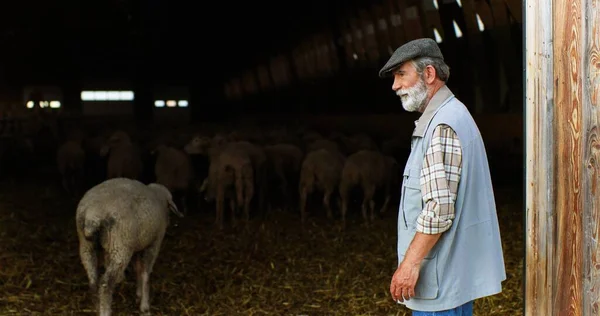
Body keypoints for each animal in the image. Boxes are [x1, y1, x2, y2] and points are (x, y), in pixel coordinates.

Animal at [75, 178, 183, 316]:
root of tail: (93, 215)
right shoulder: (154, 244)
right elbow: (146, 273)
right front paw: (145, 306)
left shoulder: (138, 245)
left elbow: (138, 268)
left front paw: (138, 295)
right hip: (120, 247)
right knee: (105, 284)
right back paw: (105, 311)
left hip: (87, 246)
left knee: (93, 281)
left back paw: (97, 307)